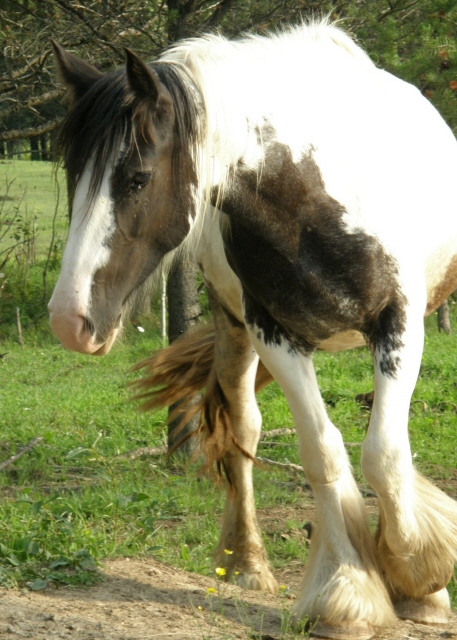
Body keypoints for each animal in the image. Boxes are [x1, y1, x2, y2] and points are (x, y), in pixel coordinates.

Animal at [47, 22, 457, 640]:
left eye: (138, 178)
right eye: (73, 176)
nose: (69, 321)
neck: (311, 200)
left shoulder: (400, 323)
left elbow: (386, 455)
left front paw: (422, 580)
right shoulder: (275, 335)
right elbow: (323, 453)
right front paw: (347, 595)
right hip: (233, 329)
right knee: (244, 432)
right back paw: (246, 563)